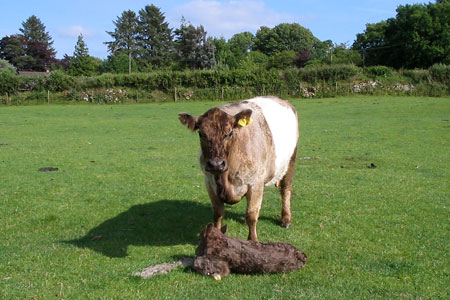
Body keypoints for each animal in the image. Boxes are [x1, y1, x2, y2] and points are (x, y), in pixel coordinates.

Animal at [178, 96, 298, 241]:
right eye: (201, 134)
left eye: (229, 133)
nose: (216, 164)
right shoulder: (209, 182)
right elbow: (218, 213)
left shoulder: (256, 182)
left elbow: (252, 214)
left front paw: (253, 240)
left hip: (290, 161)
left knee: (285, 189)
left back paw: (286, 219)